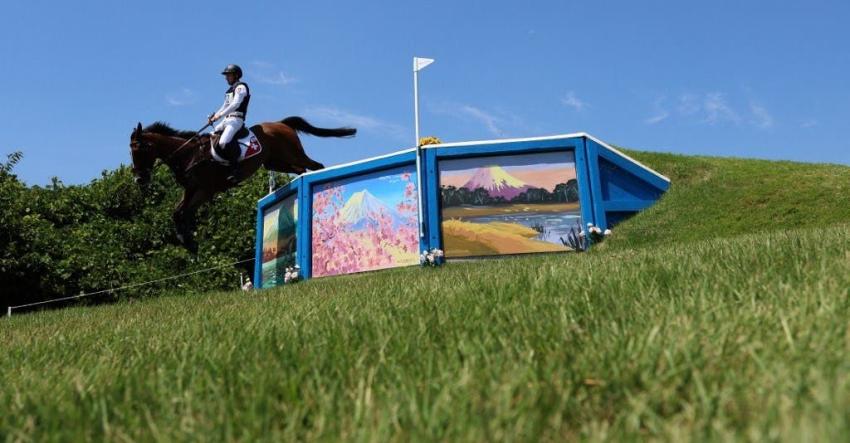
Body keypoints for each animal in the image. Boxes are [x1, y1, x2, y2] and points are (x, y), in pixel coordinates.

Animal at [129, 116, 356, 252]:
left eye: (139, 149)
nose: (139, 179)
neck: (188, 154)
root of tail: (280, 123)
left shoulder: (205, 190)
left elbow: (186, 212)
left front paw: (190, 241)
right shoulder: (191, 189)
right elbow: (178, 212)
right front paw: (188, 243)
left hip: (293, 154)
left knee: (315, 165)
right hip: (276, 162)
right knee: (300, 169)